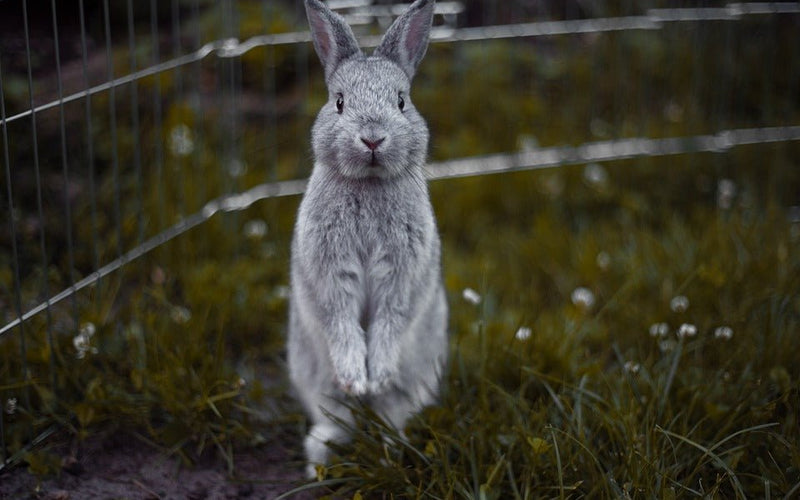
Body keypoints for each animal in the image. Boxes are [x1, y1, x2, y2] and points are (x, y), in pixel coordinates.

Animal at [290, 0, 450, 478]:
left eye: (401, 100)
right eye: (339, 102)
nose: (373, 138)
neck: (369, 183)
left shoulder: (402, 272)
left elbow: (391, 317)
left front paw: (375, 375)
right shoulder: (329, 270)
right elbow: (341, 317)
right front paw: (356, 377)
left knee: (390, 414)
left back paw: (389, 450)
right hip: (315, 379)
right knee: (337, 417)